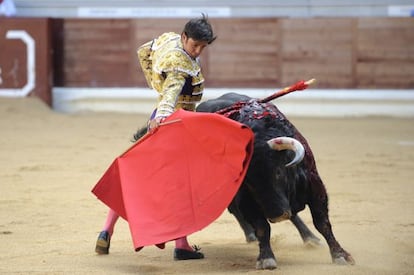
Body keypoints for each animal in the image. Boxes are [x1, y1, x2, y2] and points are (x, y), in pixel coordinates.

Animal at [196, 92, 354, 270]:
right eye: (248, 182)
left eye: (278, 172)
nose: (277, 215)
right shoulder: (245, 200)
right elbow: (262, 227)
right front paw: (266, 258)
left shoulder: (316, 188)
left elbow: (322, 222)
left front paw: (340, 255)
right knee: (235, 210)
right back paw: (251, 235)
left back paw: (310, 238)